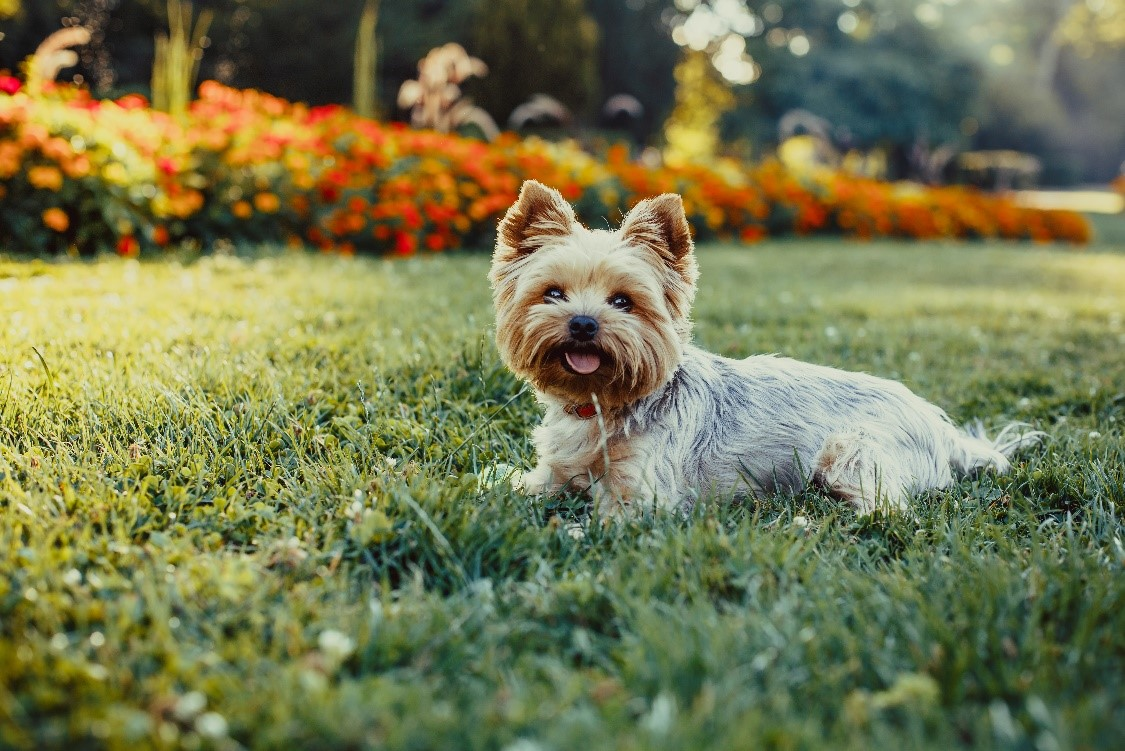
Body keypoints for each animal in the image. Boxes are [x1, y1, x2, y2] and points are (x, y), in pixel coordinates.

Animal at [488, 179, 1039, 517]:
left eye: (623, 301)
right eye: (553, 293)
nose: (583, 323)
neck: (602, 403)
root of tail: (944, 429)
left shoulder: (642, 494)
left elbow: (601, 520)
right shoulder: (552, 473)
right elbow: (520, 485)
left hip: (851, 452)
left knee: (887, 508)